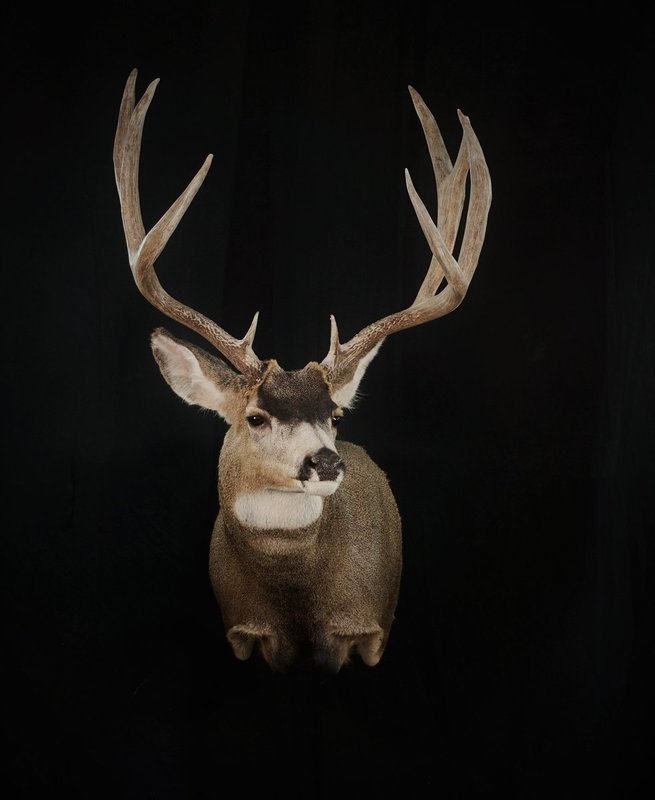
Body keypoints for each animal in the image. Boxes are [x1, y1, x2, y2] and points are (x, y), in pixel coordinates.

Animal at [113, 69, 491, 673]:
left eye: (336, 415)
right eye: (256, 417)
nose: (327, 461)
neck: (295, 598)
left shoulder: (368, 629)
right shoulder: (243, 631)